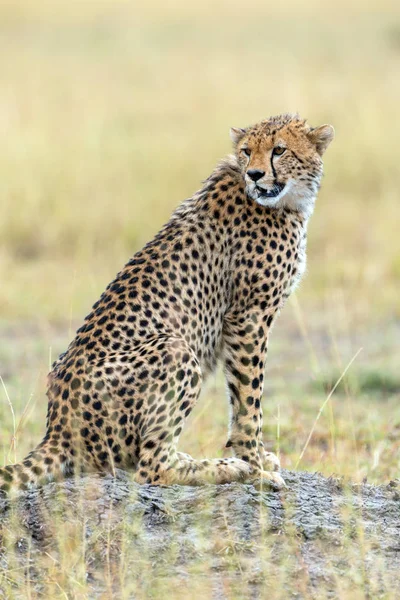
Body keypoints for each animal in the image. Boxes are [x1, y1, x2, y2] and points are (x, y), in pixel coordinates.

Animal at [0, 113, 334, 496]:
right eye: (247, 151)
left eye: (279, 150)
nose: (254, 174)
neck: (286, 201)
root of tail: (56, 427)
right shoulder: (248, 316)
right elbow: (249, 398)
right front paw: (254, 462)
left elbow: (242, 396)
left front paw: (257, 458)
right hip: (175, 348)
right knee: (151, 468)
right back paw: (228, 469)